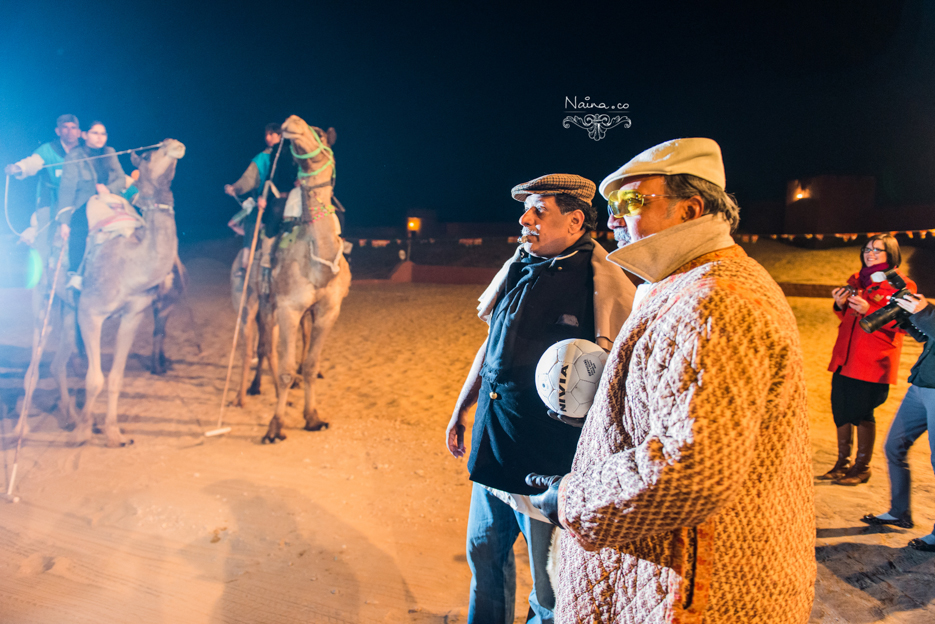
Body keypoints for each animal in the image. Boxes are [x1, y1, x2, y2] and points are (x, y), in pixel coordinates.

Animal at [63, 139, 186, 446]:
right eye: (148, 154)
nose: (175, 144)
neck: (130, 267)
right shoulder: (90, 313)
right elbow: (94, 379)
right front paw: (82, 432)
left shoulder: (133, 315)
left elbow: (115, 378)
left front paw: (113, 433)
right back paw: (66, 419)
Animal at [260, 114, 352, 442]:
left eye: (321, 133)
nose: (291, 122)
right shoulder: (288, 307)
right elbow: (287, 368)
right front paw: (275, 426)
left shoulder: (329, 310)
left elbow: (311, 365)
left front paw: (312, 417)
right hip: (264, 302)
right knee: (267, 347)